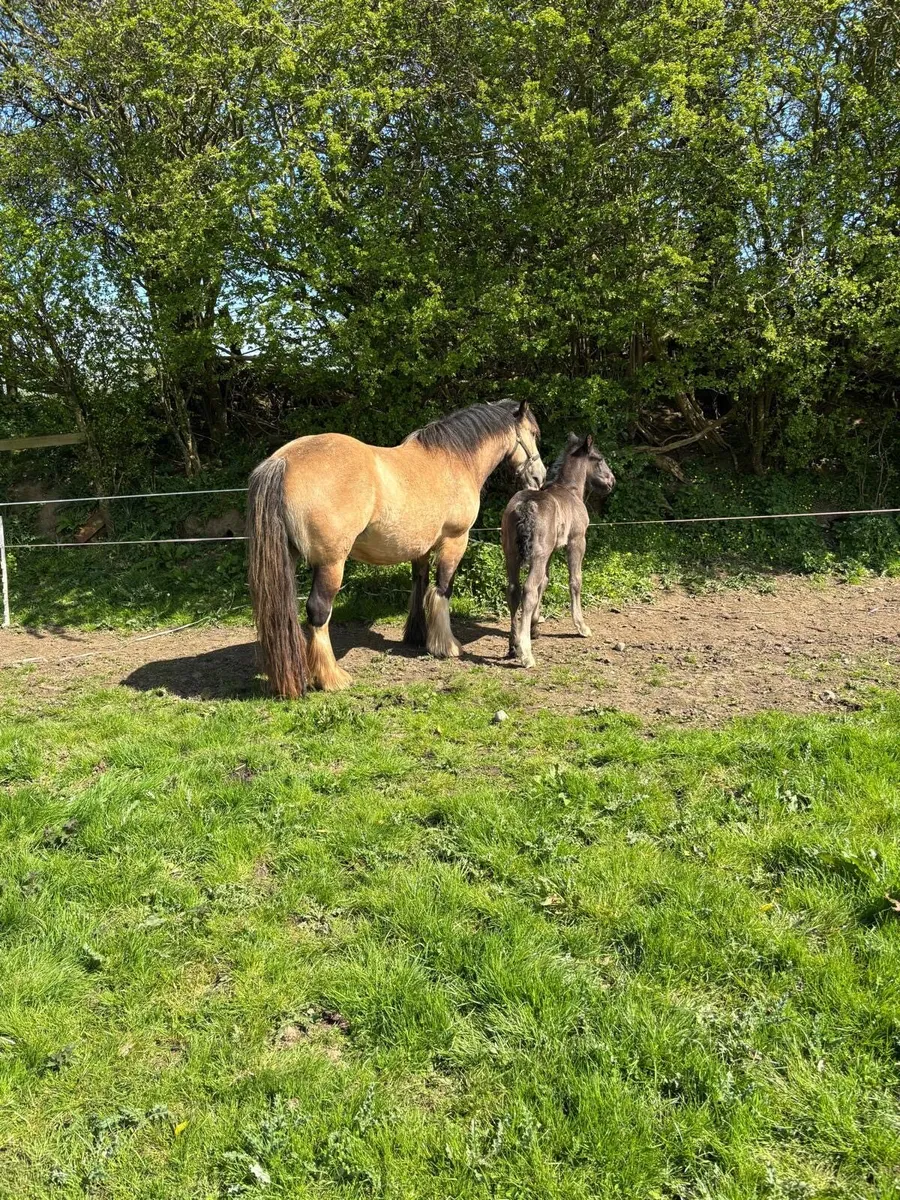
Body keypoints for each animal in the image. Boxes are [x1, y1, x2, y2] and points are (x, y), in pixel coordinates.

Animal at [247, 399, 546, 697]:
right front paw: (447, 646)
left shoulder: (421, 549)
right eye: (533, 433)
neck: (454, 460)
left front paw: (418, 636)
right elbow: (442, 589)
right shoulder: (455, 540)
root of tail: (283, 461)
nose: (539, 477)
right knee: (318, 611)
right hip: (331, 563)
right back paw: (332, 678)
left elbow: (420, 587)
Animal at [501, 433, 615, 668]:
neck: (570, 491)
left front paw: (535, 626)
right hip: (537, 555)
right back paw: (526, 654)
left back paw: (513, 645)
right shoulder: (577, 541)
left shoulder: (551, 551)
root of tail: (525, 506)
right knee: (528, 590)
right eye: (600, 459)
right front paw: (581, 626)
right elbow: (575, 580)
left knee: (514, 589)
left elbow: (545, 581)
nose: (611, 481)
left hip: (512, 554)